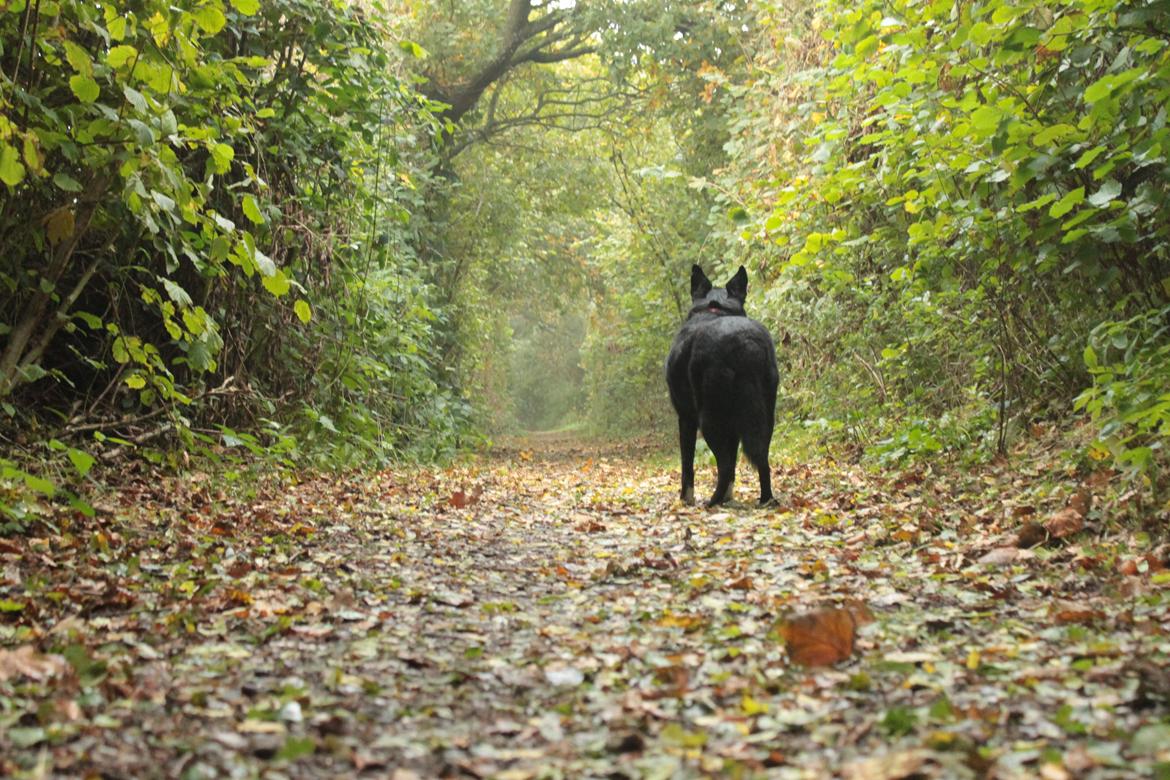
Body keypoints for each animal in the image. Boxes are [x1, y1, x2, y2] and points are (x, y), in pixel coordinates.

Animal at [669, 264, 776, 507]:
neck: (715, 308)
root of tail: (745, 341)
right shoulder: (734, 426)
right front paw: (728, 496)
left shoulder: (686, 418)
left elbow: (687, 465)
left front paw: (686, 499)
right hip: (766, 416)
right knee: (762, 459)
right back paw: (765, 499)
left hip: (709, 420)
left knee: (725, 465)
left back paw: (712, 502)